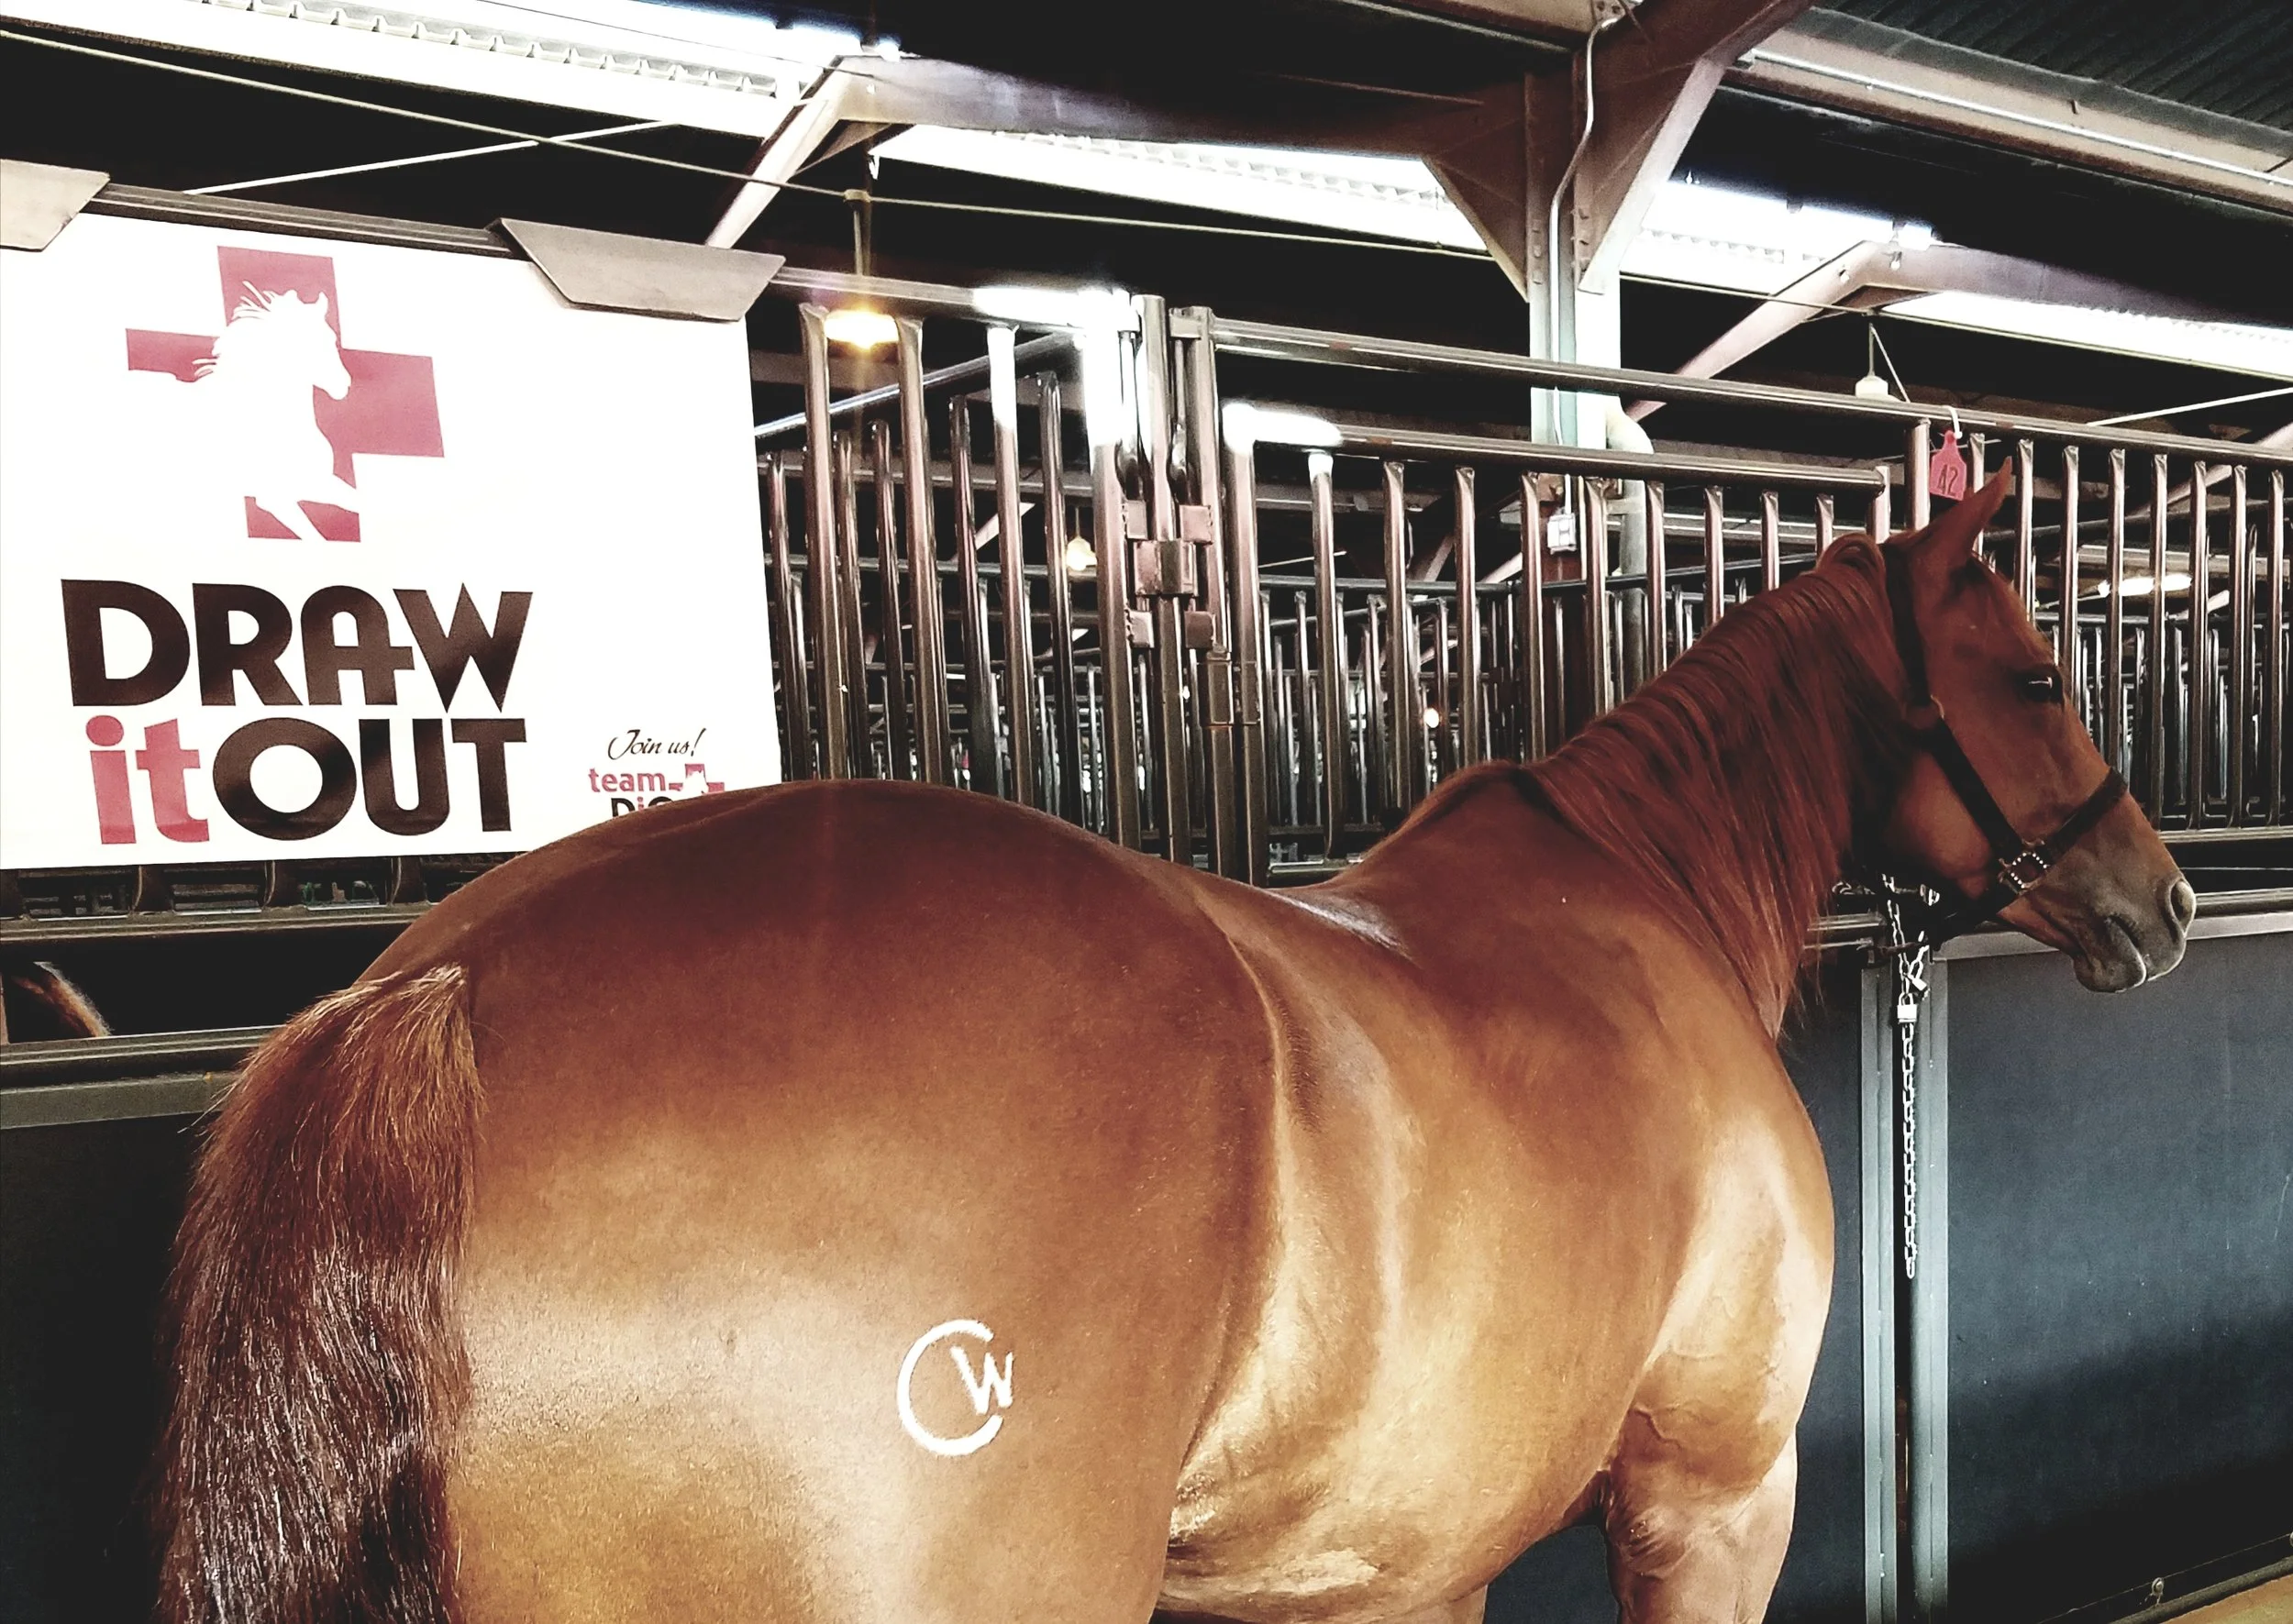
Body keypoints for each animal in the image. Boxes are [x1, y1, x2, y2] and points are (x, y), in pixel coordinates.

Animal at [126, 286, 357, 544]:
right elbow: (316, 539)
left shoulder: (317, 483)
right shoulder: (276, 498)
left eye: (332, 339)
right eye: (303, 343)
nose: (344, 384)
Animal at [155, 469, 2192, 1624]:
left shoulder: (1386, 1576)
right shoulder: (1714, 1492)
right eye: (2037, 674)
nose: (2158, 901)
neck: (1641, 903)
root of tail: (436, 997)